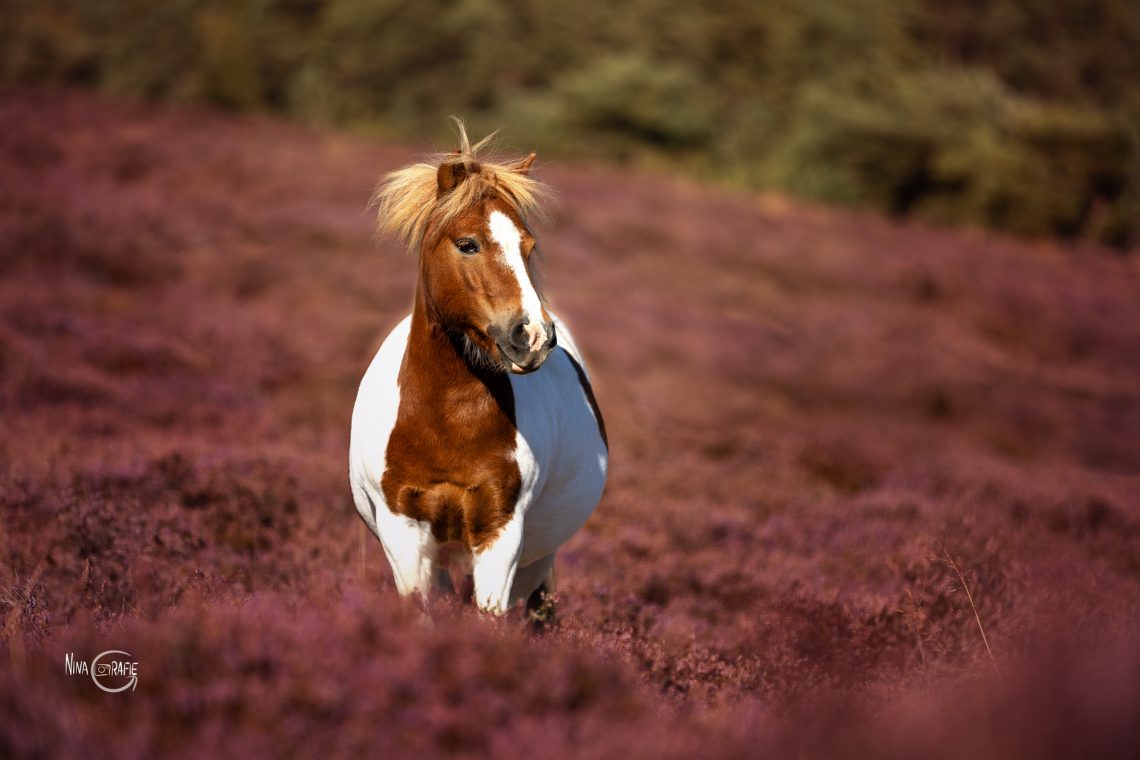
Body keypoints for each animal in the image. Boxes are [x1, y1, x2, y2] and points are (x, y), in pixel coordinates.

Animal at [348, 120, 608, 618]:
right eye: (467, 244)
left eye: (529, 246)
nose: (533, 335)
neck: (446, 423)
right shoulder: (403, 532)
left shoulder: (500, 535)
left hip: (531, 561)